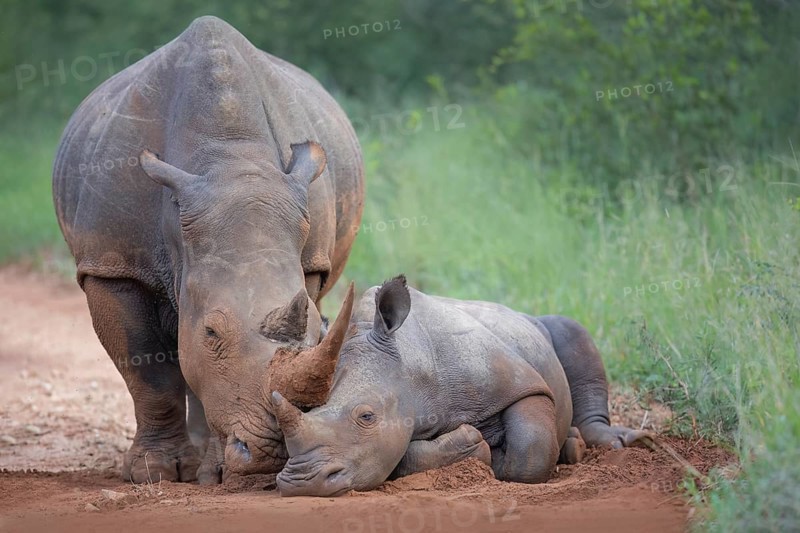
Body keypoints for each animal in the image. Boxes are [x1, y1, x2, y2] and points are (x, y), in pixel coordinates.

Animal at [52, 16, 364, 484]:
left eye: (318, 331)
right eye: (212, 332)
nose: (271, 454)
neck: (229, 158)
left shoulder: (308, 263)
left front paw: (215, 472)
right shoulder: (113, 265)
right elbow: (148, 369)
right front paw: (154, 472)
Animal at [271, 276, 650, 496]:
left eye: (367, 416)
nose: (301, 483)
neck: (410, 365)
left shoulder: (522, 383)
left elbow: (530, 449)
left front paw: (495, 458)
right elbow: (403, 457)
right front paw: (476, 448)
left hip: (533, 327)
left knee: (570, 331)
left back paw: (605, 443)